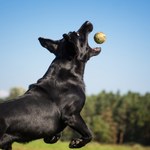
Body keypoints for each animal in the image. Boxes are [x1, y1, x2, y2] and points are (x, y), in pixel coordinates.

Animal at [0, 20, 101, 149]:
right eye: (78, 34)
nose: (87, 22)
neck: (67, 74)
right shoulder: (72, 115)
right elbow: (89, 133)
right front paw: (77, 143)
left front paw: (53, 137)